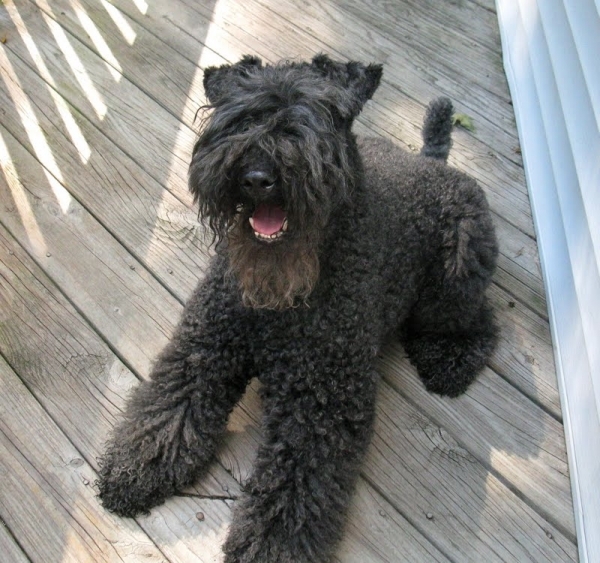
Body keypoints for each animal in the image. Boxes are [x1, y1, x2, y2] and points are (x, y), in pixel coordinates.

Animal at [98, 54, 500, 563]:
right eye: (240, 117)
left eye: (315, 116)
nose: (256, 176)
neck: (279, 297)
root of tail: (431, 162)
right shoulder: (204, 346)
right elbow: (169, 406)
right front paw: (137, 466)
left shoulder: (321, 402)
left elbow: (294, 488)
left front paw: (270, 548)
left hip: (455, 272)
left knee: (479, 320)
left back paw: (449, 361)